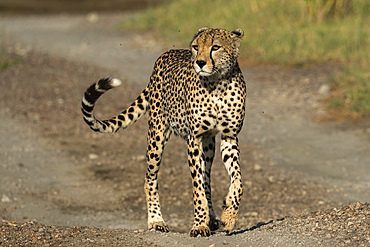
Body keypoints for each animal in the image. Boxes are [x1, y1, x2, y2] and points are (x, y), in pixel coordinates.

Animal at [82, 27, 247, 237]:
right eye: (196, 47)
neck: (218, 82)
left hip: (208, 145)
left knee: (207, 179)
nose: (200, 62)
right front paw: (199, 225)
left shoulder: (229, 137)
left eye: (215, 47)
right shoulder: (194, 139)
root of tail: (165, 55)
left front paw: (228, 217)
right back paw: (156, 221)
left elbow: (237, 182)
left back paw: (212, 218)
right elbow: (197, 188)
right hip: (157, 134)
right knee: (150, 178)